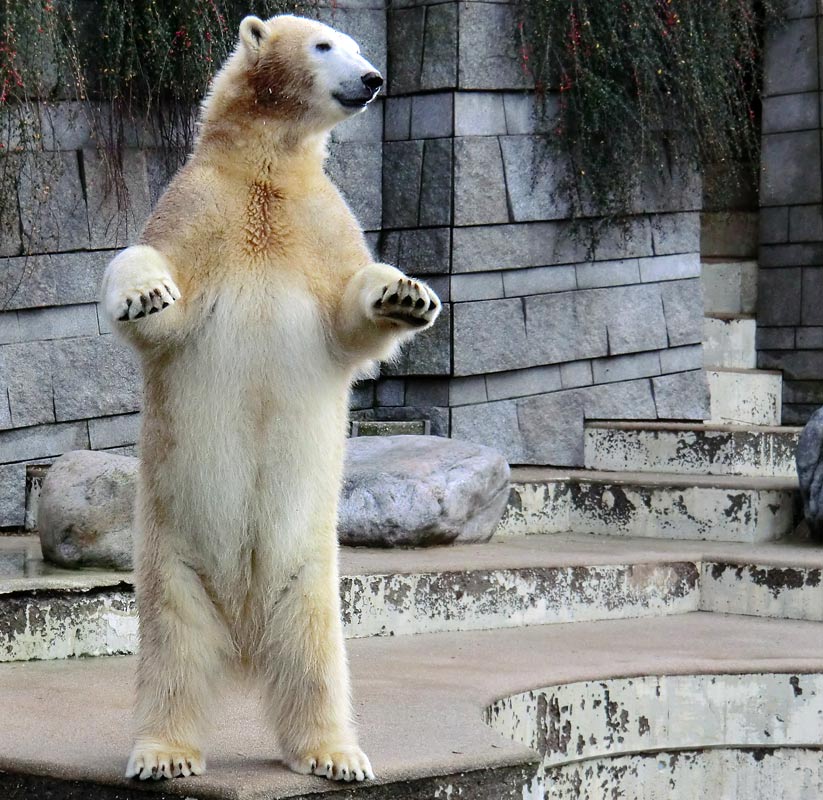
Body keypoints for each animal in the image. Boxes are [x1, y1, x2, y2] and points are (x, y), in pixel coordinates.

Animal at [100, 15, 440, 784]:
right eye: (325, 45)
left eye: (354, 43)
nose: (372, 77)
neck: (266, 168)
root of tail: (243, 639)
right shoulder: (199, 205)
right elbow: (153, 277)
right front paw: (145, 292)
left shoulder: (319, 221)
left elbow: (350, 311)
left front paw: (405, 292)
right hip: (172, 559)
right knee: (172, 652)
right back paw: (163, 752)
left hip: (310, 570)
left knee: (316, 658)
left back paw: (335, 753)